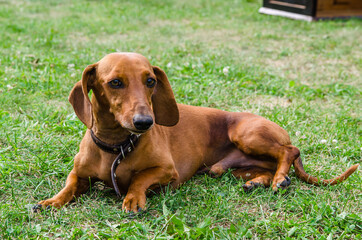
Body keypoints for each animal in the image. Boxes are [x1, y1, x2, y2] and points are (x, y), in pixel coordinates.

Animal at [34, 52, 360, 212]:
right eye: (115, 82)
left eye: (150, 81)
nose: (145, 122)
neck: (116, 148)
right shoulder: (79, 174)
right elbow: (69, 186)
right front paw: (52, 201)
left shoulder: (168, 171)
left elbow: (140, 179)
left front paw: (133, 198)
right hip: (230, 168)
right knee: (267, 167)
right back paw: (260, 181)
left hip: (247, 133)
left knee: (289, 152)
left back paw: (280, 178)